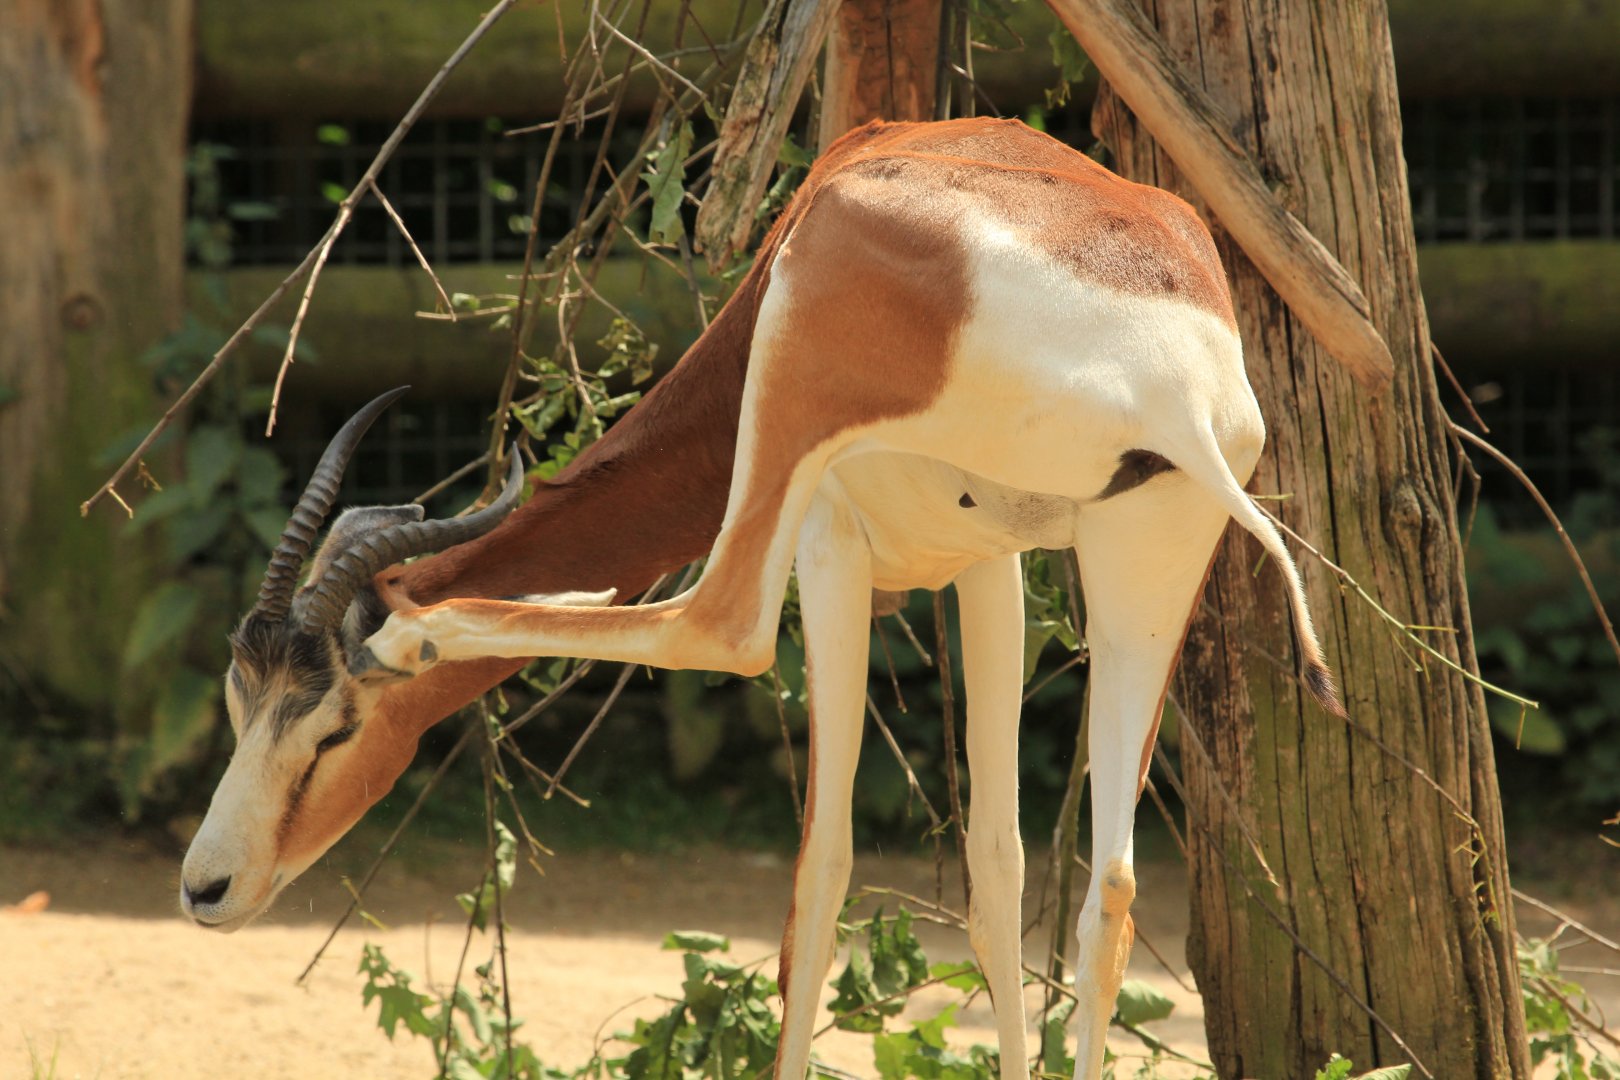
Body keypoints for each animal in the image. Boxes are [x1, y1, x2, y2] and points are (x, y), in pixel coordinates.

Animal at [181, 116, 1343, 1079]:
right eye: (237, 704)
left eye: (332, 729)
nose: (204, 889)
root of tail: (1178, 381)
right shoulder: (992, 562)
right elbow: (998, 867)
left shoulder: (830, 539)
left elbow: (819, 874)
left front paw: (406, 645)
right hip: (1144, 564)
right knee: (1112, 892)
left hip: (811, 464)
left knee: (722, 624)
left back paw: (424, 633)